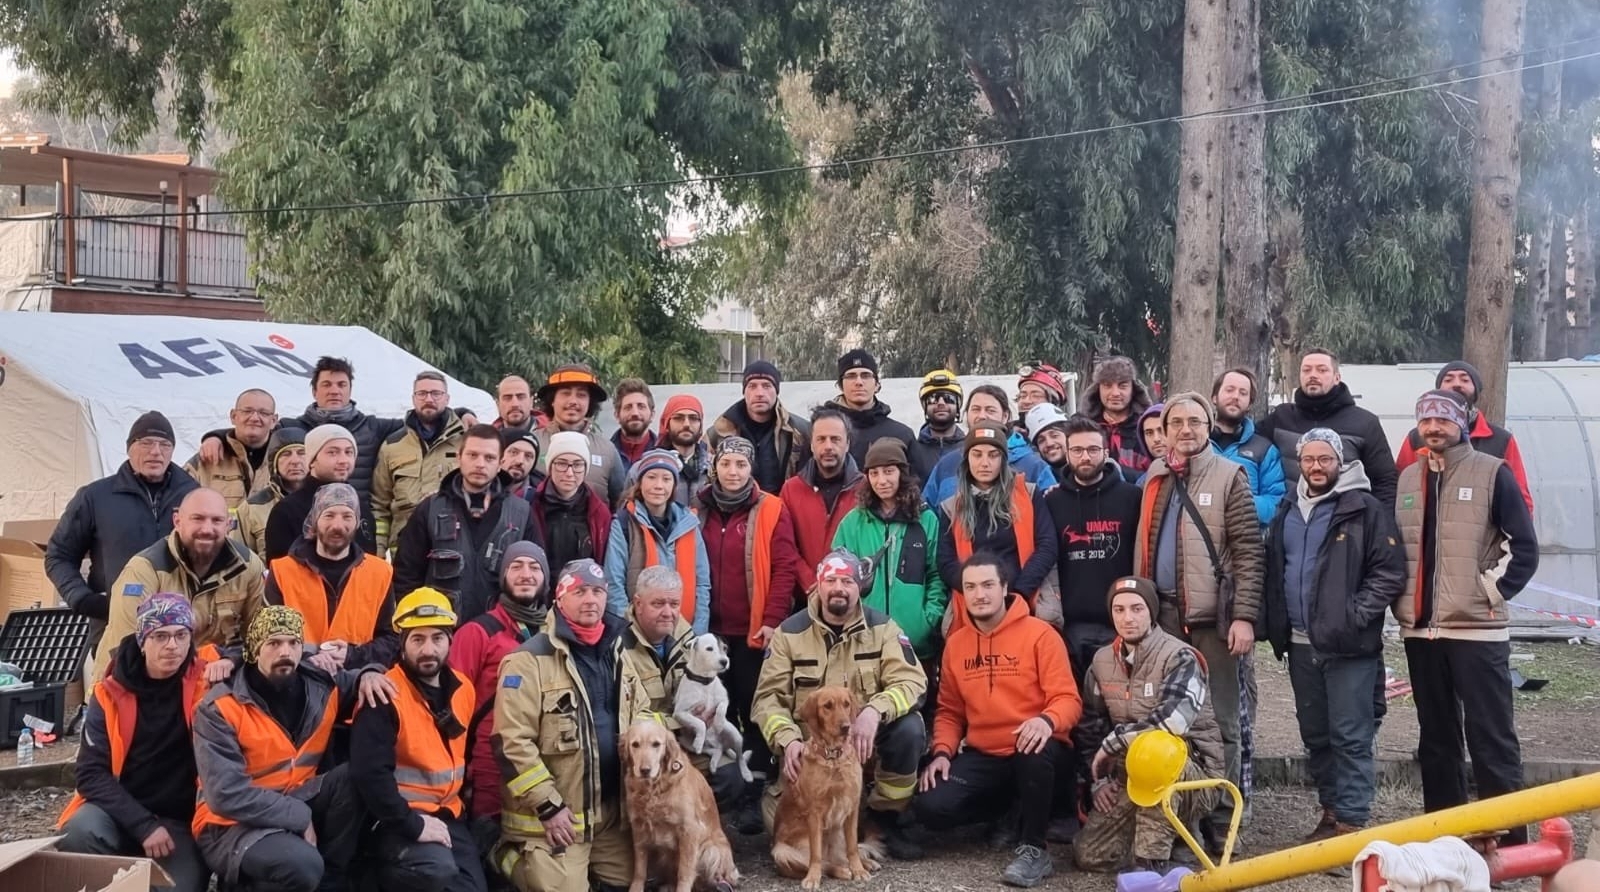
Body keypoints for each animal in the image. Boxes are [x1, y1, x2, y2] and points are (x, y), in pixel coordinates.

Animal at [672, 636, 752, 783]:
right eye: (709, 648)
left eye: (725, 648)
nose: (725, 661)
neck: (705, 681)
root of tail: (719, 743)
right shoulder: (680, 713)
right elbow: (700, 723)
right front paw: (699, 739)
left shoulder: (724, 700)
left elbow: (721, 708)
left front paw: (719, 723)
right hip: (685, 742)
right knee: (715, 751)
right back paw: (712, 761)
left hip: (736, 736)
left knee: (740, 758)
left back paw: (746, 773)